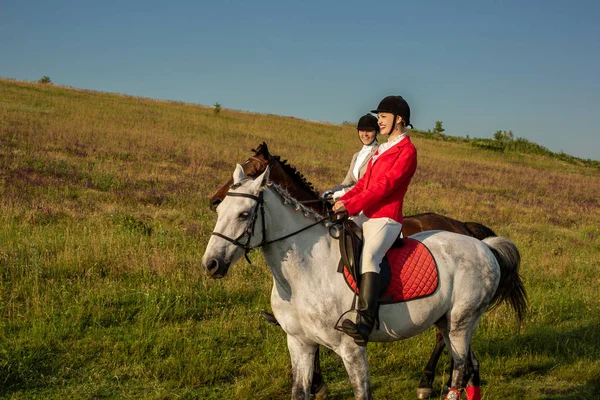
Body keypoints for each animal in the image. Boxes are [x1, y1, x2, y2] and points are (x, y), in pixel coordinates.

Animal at [207, 142, 524, 398]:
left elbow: (361, 391)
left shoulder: (351, 348)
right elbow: (301, 389)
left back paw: (427, 383)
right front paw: (318, 387)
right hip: (452, 322)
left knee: (459, 365)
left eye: (244, 214)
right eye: (221, 211)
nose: (211, 264)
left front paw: (321, 387)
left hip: (461, 321)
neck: (303, 274)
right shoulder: (299, 342)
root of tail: (482, 245)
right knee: (471, 365)